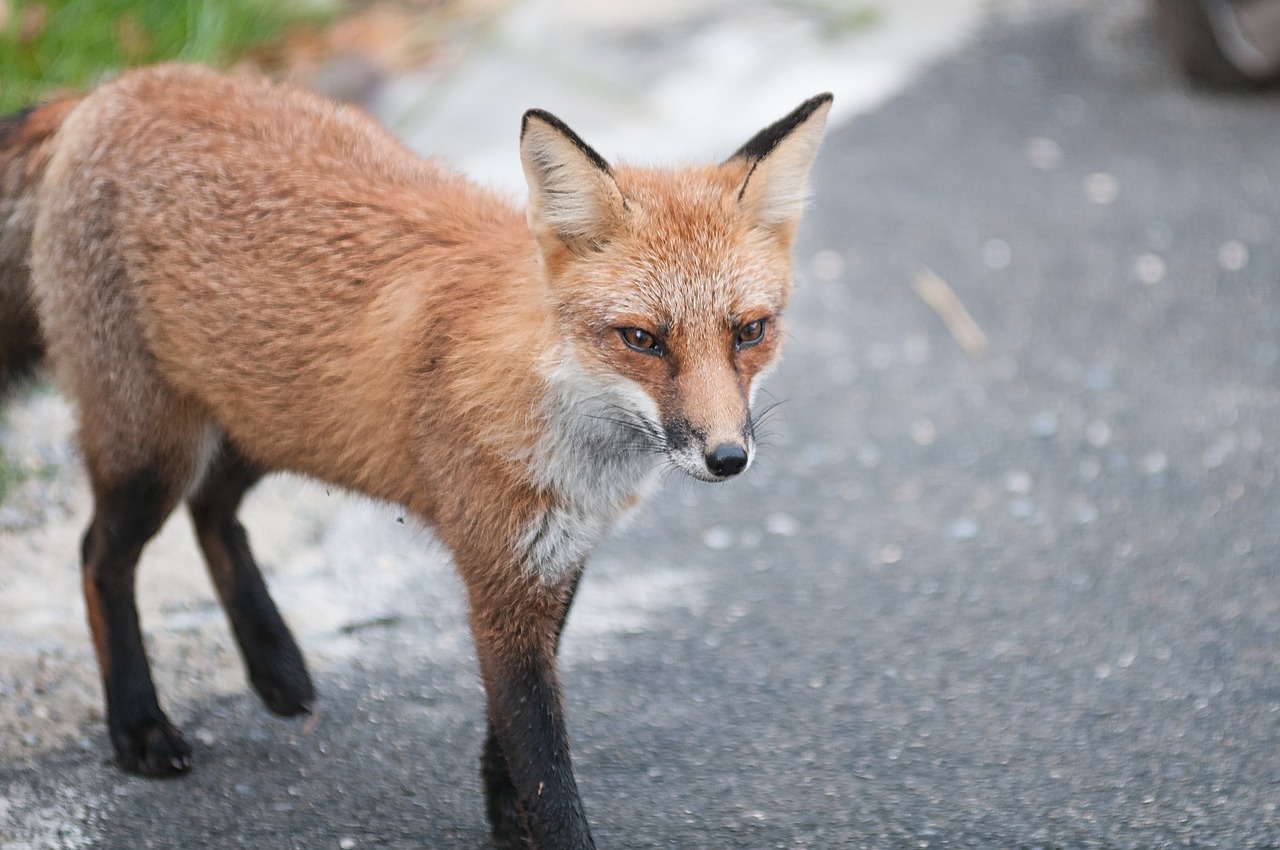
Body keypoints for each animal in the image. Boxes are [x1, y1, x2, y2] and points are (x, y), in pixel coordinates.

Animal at [0, 66, 834, 850]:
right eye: (642, 339)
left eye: (749, 331)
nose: (727, 457)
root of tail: (113, 88)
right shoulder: (500, 574)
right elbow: (543, 759)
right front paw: (541, 827)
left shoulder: (552, 563)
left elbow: (507, 735)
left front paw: (503, 814)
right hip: (156, 453)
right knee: (99, 555)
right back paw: (137, 724)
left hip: (276, 421)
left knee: (214, 513)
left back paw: (275, 665)